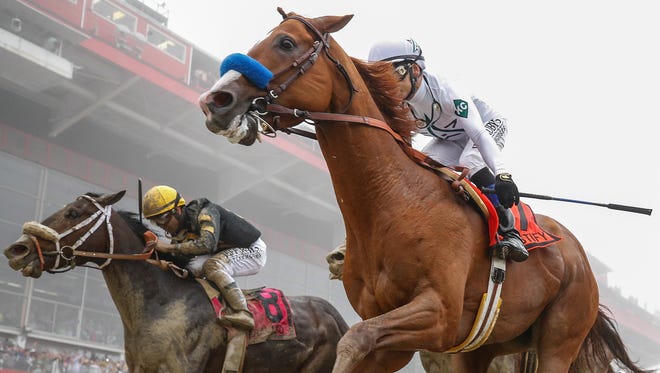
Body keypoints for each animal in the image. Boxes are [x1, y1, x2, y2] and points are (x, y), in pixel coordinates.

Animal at [196, 8, 648, 372]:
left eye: (286, 42)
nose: (216, 99)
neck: (395, 201)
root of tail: (577, 255)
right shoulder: (397, 336)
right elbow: (360, 341)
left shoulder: (437, 314)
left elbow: (353, 339)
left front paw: (506, 188)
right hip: (482, 348)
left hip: (559, 339)